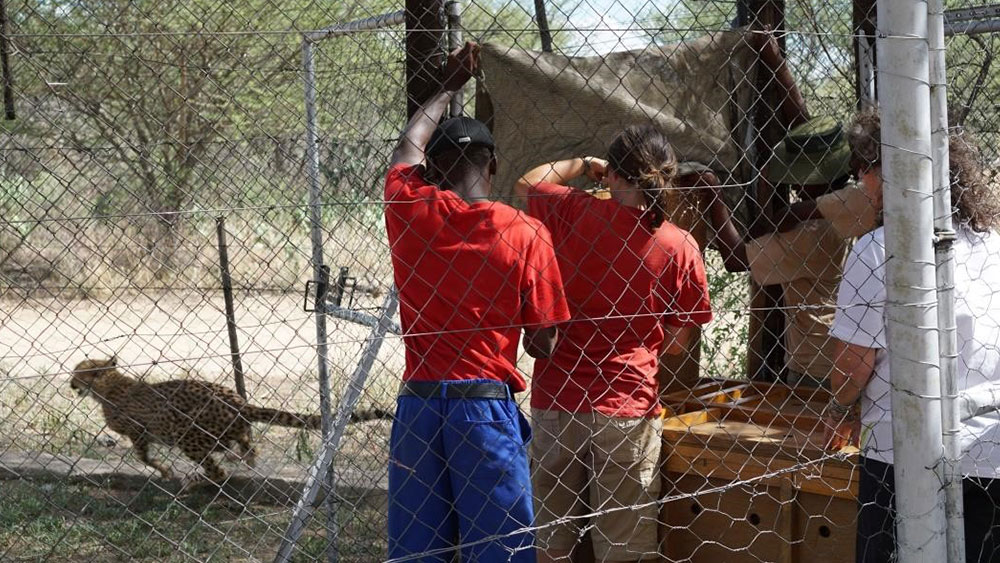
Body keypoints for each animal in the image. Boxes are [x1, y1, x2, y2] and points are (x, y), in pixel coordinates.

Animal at [70, 356, 318, 484]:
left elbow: (143, 457)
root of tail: (239, 402)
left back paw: (196, 479)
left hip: (186, 432)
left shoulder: (137, 431)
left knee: (219, 472)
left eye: (76, 373)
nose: (71, 384)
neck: (108, 385)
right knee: (247, 448)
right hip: (224, 431)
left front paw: (165, 471)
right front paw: (165, 471)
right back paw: (244, 460)